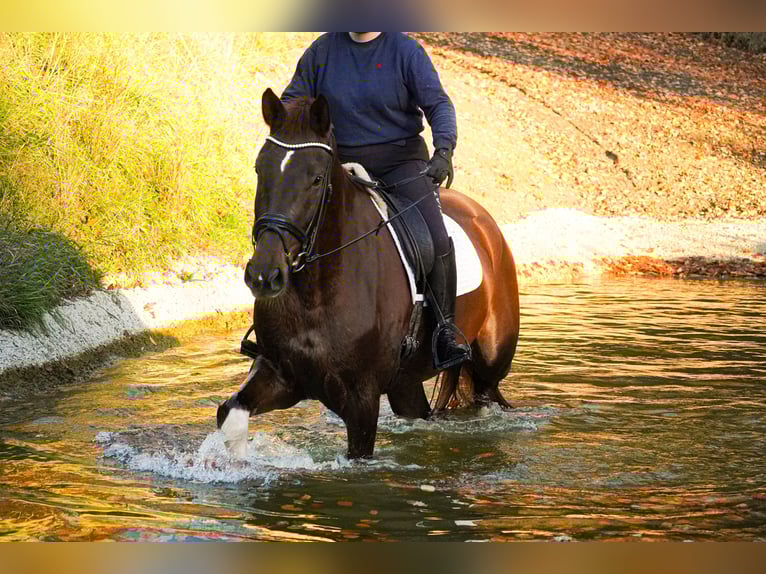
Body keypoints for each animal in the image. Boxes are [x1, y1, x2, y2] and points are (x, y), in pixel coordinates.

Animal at [216, 88, 520, 459]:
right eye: (260, 169)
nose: (263, 275)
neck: (315, 293)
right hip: (405, 382)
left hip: (489, 367)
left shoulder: (361, 399)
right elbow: (230, 415)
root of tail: (485, 221)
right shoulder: (280, 374)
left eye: (316, 179)